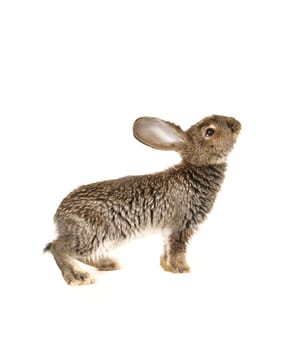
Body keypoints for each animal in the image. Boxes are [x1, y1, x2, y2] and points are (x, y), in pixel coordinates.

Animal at [44, 115, 242, 284]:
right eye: (209, 131)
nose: (237, 124)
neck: (197, 167)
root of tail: (59, 216)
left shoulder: (169, 228)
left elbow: (166, 248)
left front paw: (167, 267)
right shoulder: (181, 224)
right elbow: (177, 248)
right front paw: (183, 269)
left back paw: (108, 264)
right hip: (92, 232)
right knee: (57, 247)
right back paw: (78, 277)